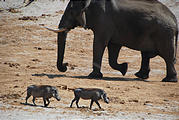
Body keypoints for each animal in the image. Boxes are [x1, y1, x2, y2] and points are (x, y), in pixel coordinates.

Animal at [45, 0, 178, 82]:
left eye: (72, 12)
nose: (66, 65)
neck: (89, 2)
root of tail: (175, 20)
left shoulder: (104, 20)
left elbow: (99, 43)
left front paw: (93, 76)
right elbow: (113, 48)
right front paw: (124, 68)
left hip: (164, 34)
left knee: (167, 56)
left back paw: (168, 80)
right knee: (146, 54)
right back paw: (140, 75)